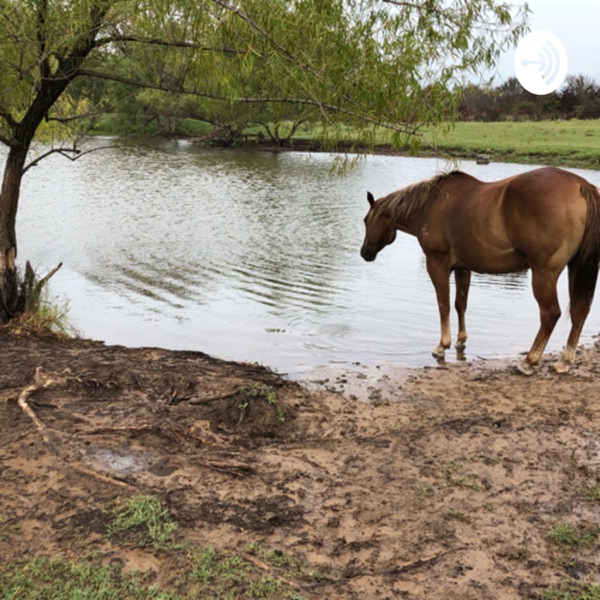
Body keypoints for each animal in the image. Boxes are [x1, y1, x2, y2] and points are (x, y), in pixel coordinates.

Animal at [360, 168, 600, 376]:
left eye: (365, 220)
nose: (365, 252)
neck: (431, 204)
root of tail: (581, 185)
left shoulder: (436, 264)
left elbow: (443, 305)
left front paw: (442, 345)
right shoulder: (463, 268)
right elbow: (460, 304)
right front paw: (460, 340)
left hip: (544, 274)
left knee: (550, 314)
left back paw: (529, 361)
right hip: (575, 267)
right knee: (579, 311)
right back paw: (564, 362)